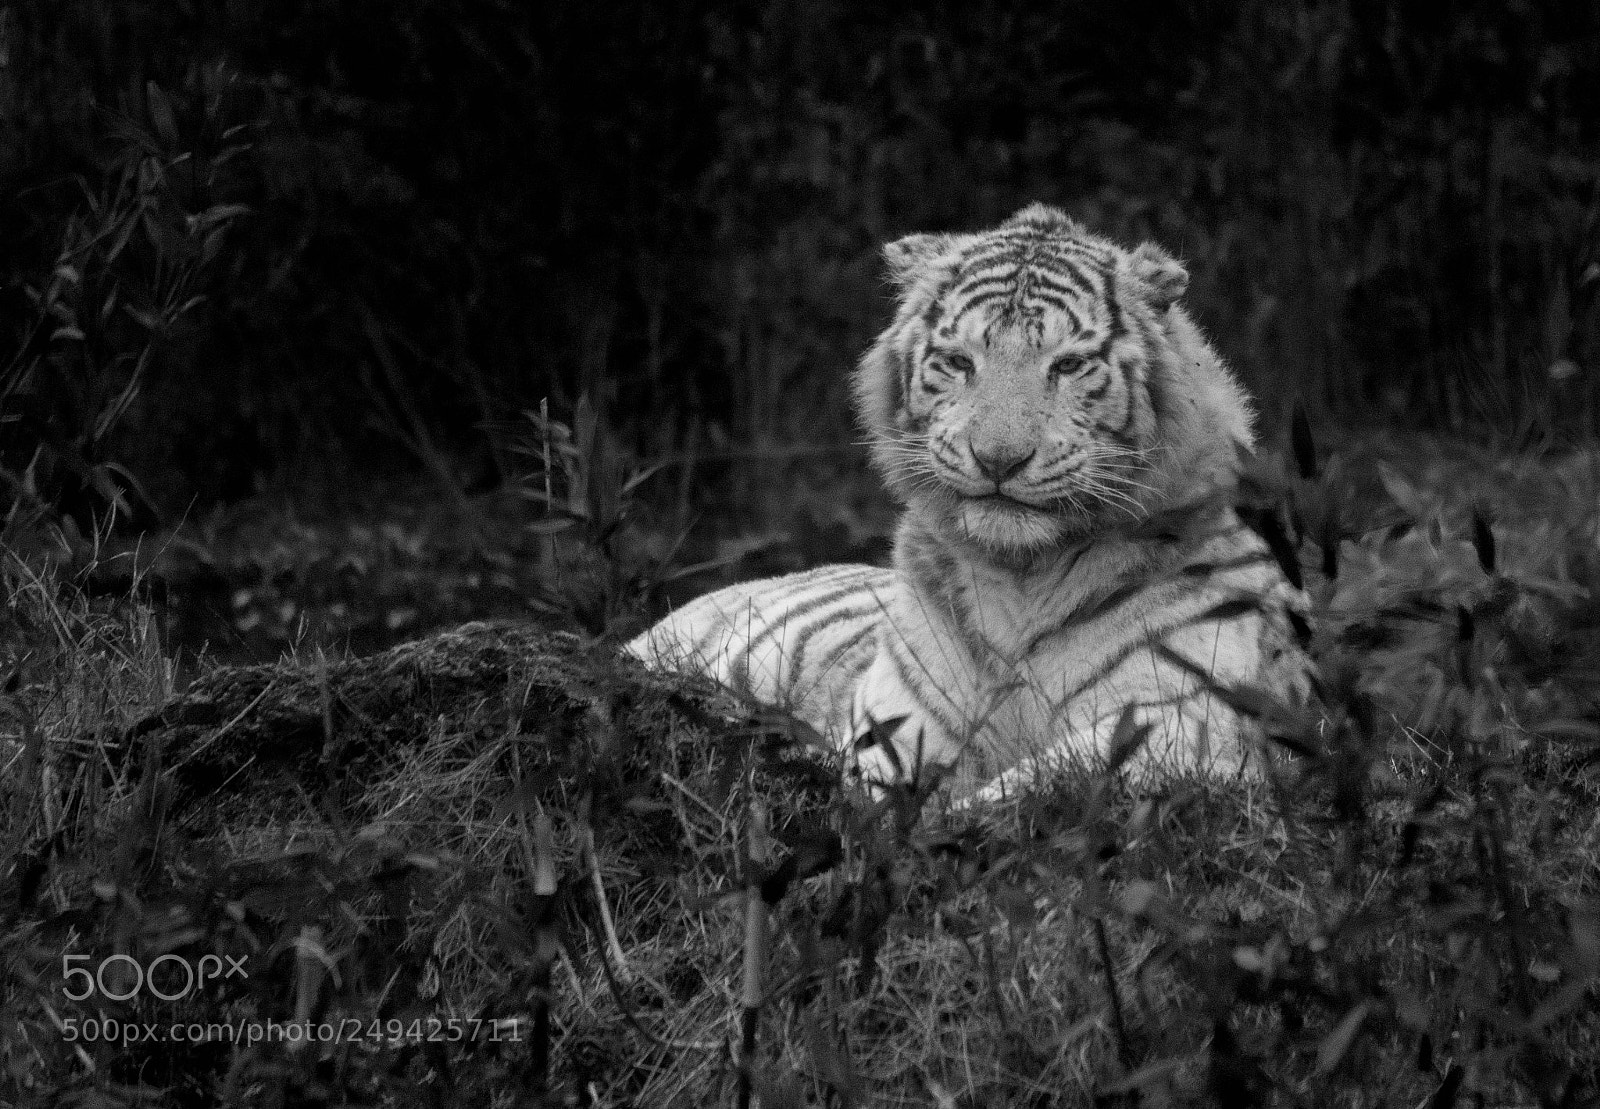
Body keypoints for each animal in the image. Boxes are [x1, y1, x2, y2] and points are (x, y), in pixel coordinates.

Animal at [627, 203, 1306, 800]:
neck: (1022, 580)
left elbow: (1035, 788)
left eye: (1069, 365)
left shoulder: (1183, 723)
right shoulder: (903, 722)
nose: (998, 459)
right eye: (957, 361)